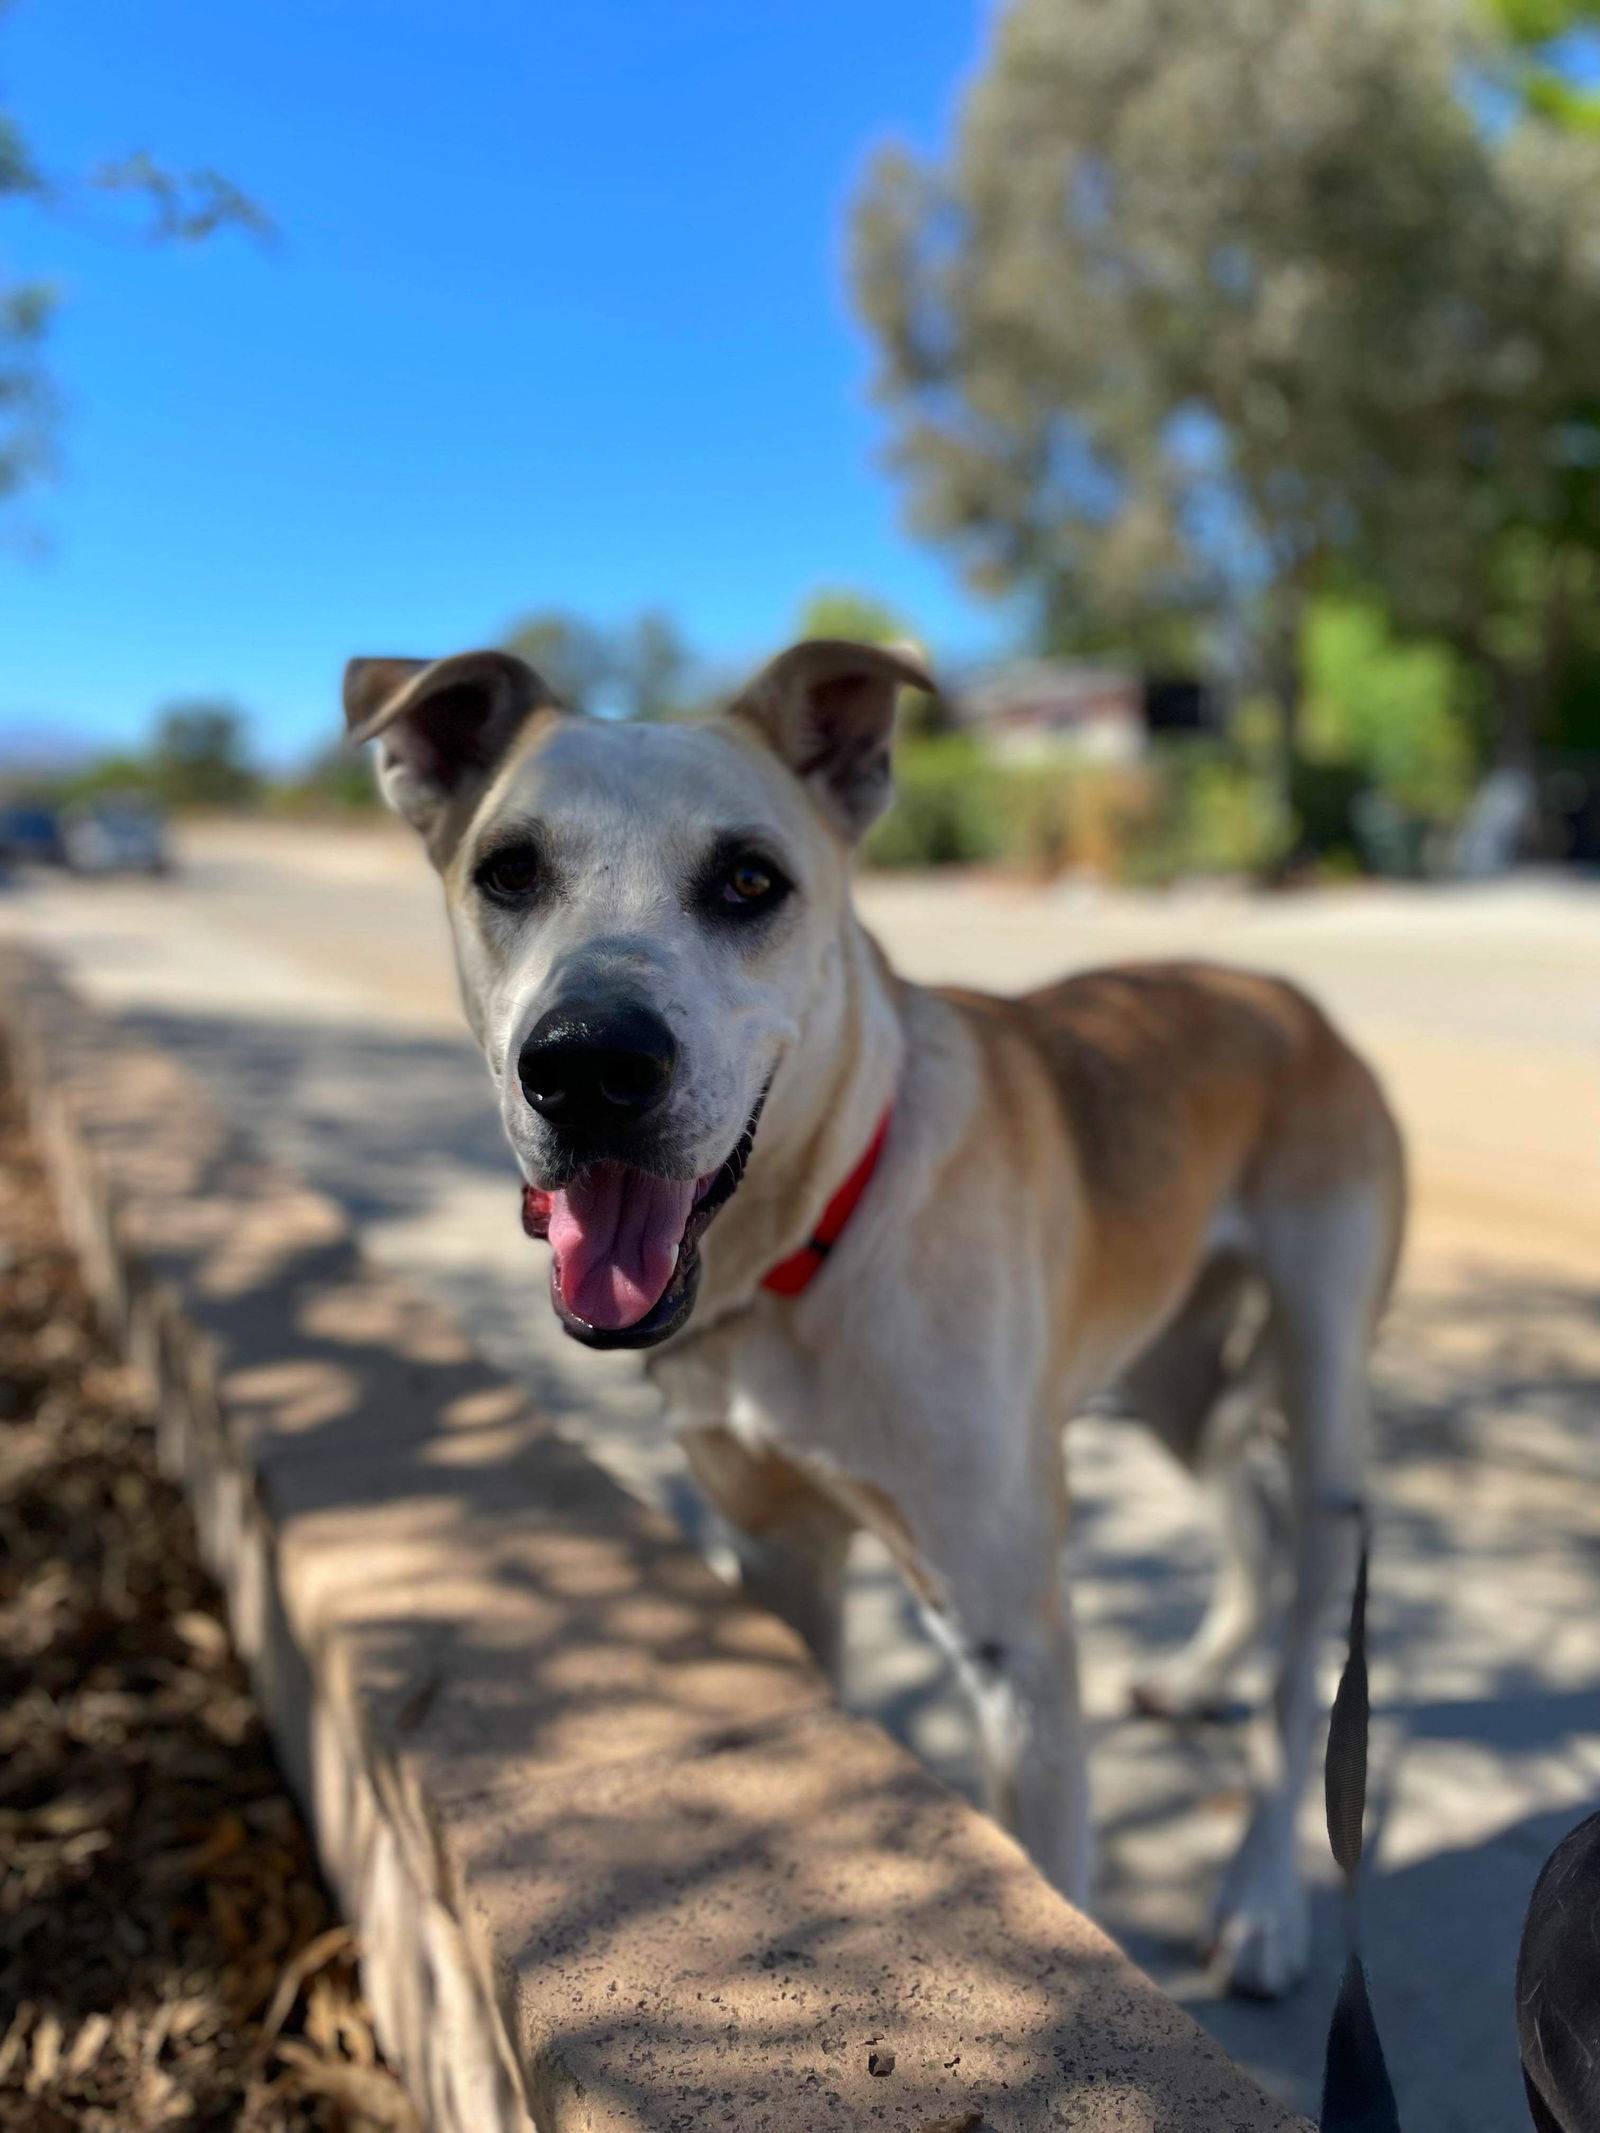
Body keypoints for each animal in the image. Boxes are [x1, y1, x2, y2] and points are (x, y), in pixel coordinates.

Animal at [347, 631, 1399, 1996]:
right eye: (508, 870)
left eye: (750, 880)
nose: (587, 1065)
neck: (806, 1253)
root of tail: (1286, 992)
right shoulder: (778, 1560)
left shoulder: (1011, 1644)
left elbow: (1053, 1890)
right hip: (1170, 1375)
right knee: (1249, 1523)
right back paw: (1195, 1677)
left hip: (1323, 1397)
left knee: (1304, 1629)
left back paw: (1264, 1895)